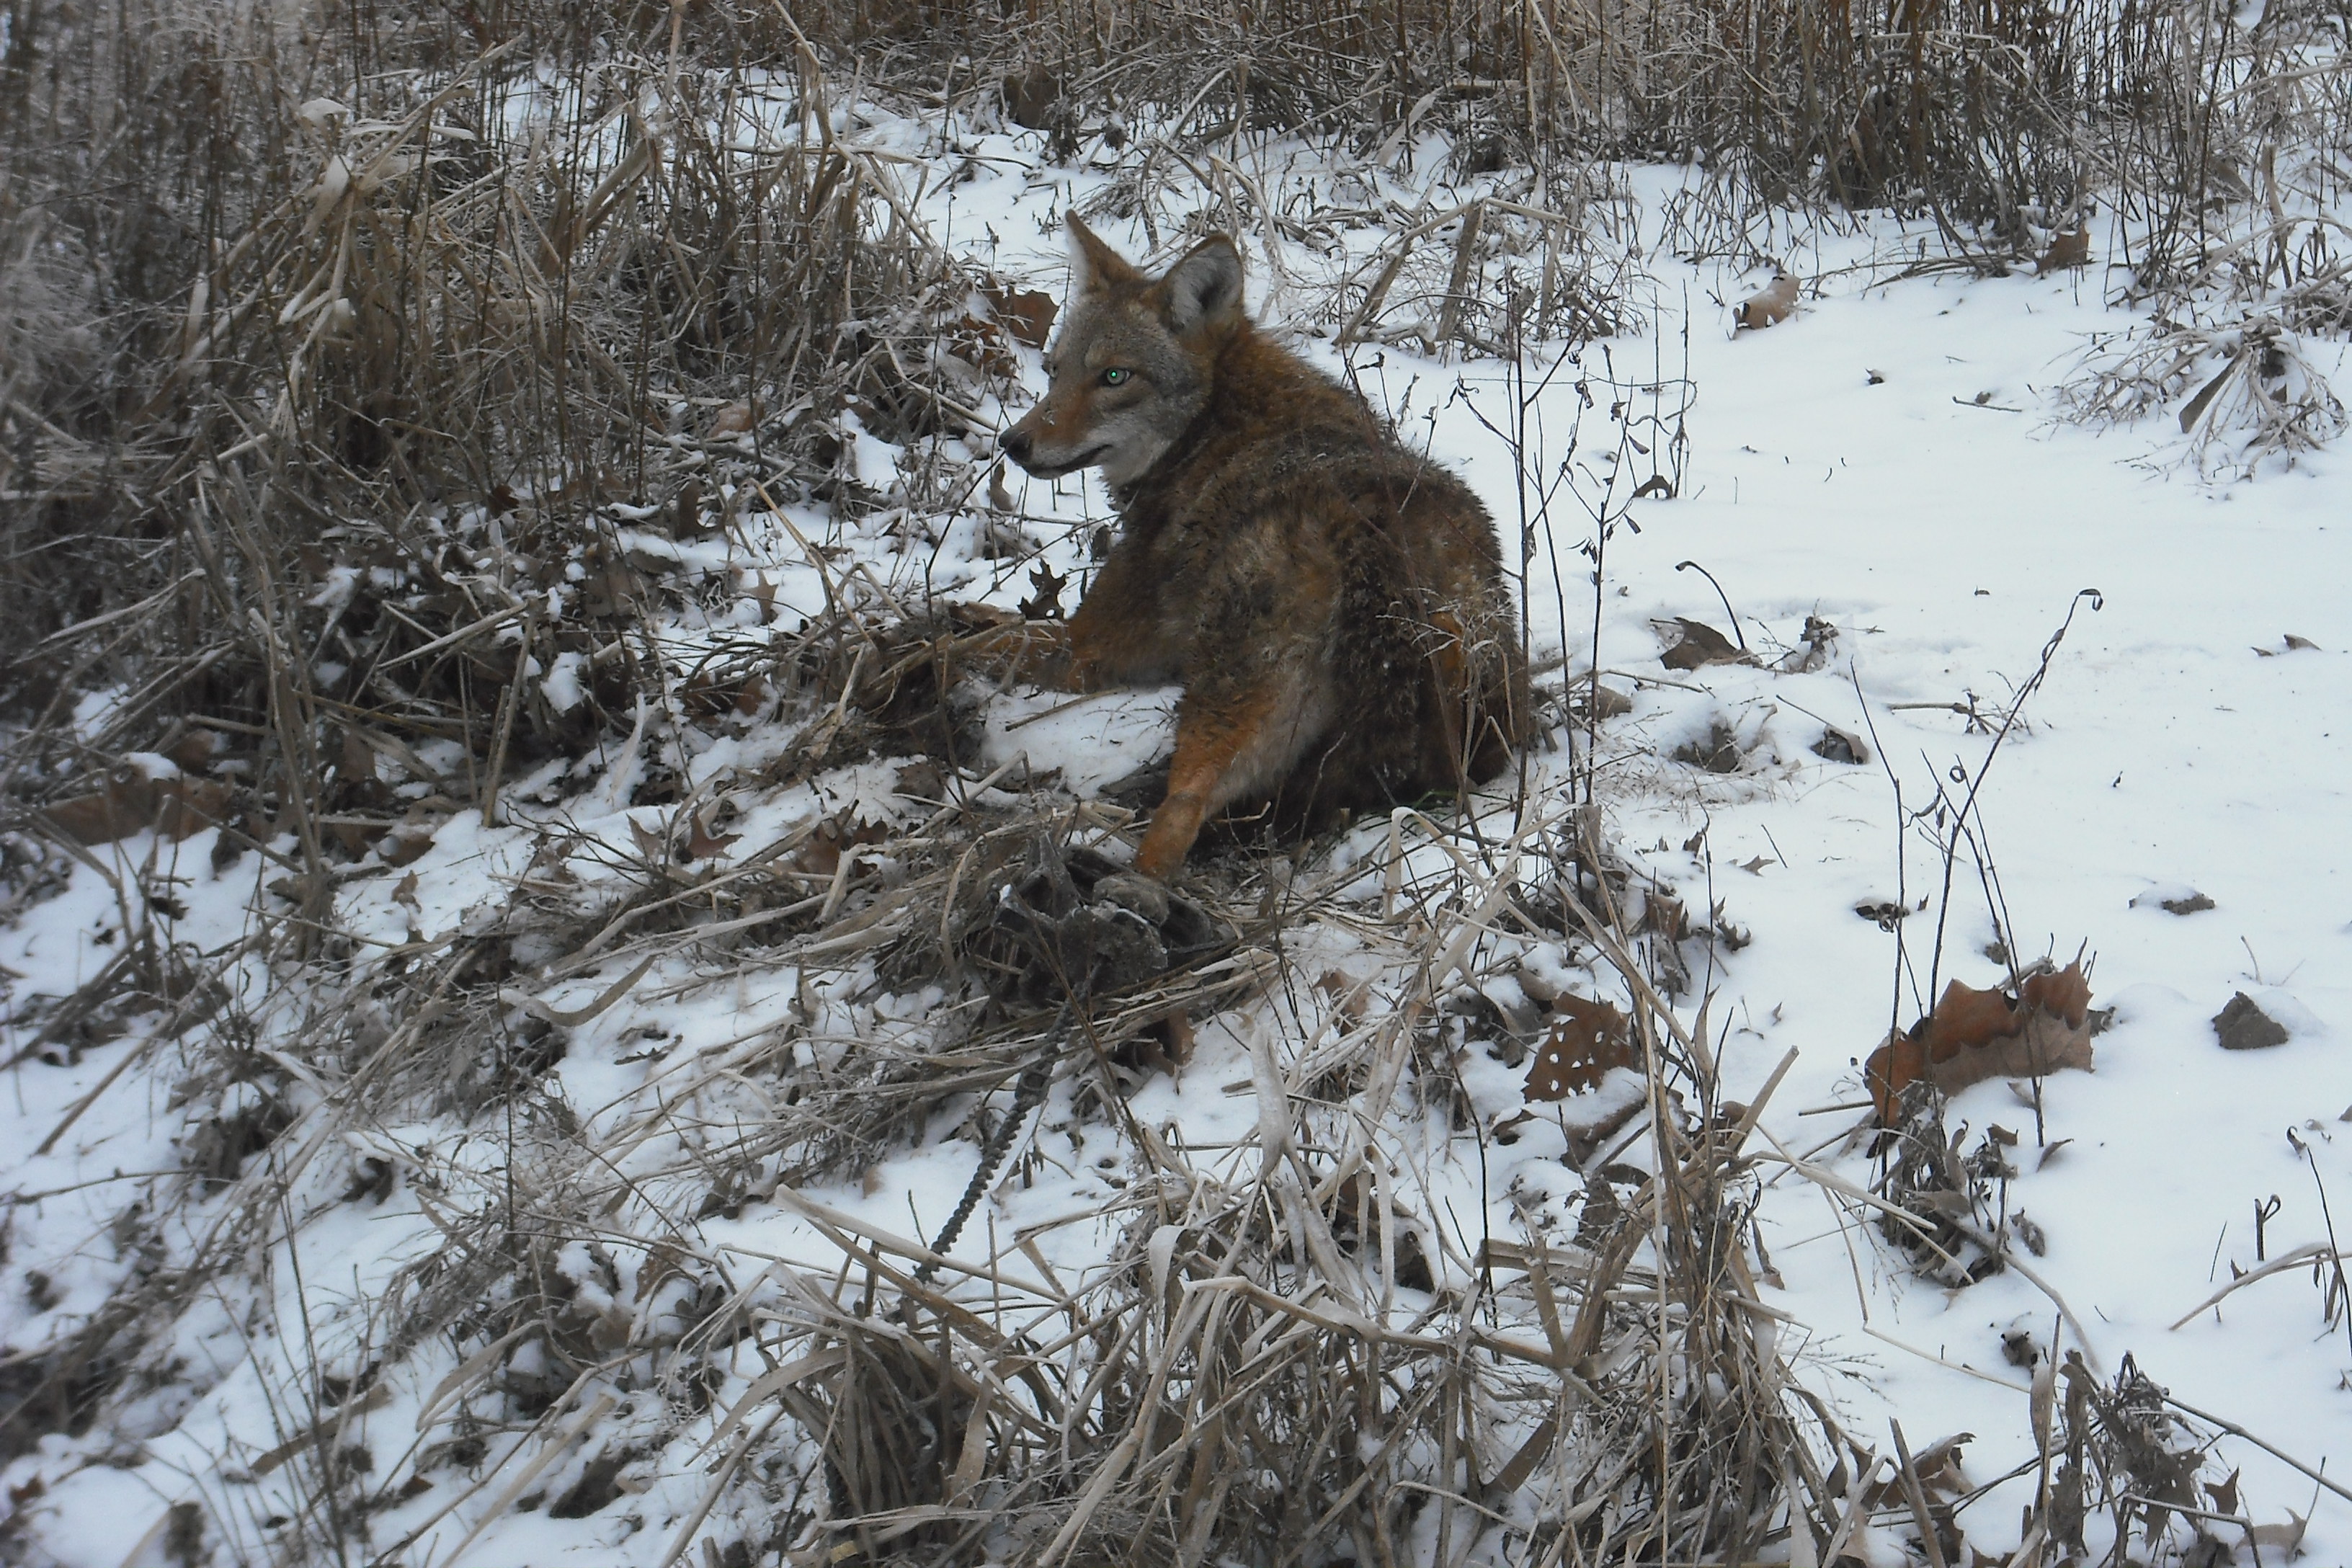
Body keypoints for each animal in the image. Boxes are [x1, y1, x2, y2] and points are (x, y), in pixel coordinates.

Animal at [994, 215, 1528, 881]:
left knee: (1181, 812)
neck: (1215, 427)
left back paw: (1121, 886)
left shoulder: (1087, 645)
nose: (1013, 443)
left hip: (1225, 703)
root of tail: (1369, 528)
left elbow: (975, 635)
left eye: (1114, 377)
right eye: (1053, 372)